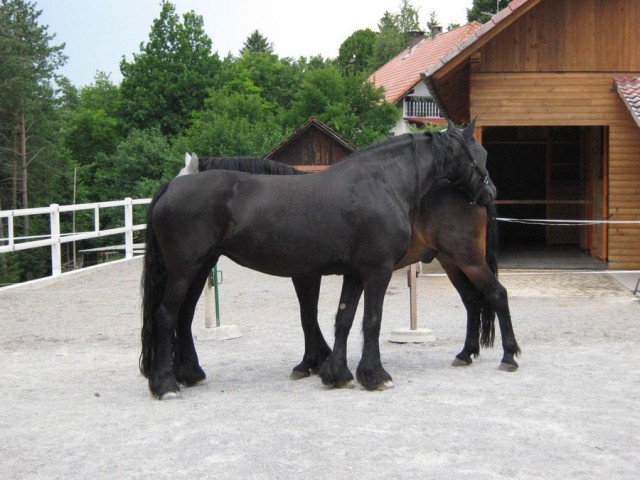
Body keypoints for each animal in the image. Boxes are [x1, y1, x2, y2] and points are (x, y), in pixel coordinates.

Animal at [140, 123, 510, 398]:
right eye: (479, 153)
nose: (491, 193)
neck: (382, 182)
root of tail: (171, 188)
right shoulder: (376, 271)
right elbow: (369, 320)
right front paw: (374, 375)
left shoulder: (352, 273)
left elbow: (342, 319)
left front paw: (336, 372)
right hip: (185, 270)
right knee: (167, 315)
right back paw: (166, 384)